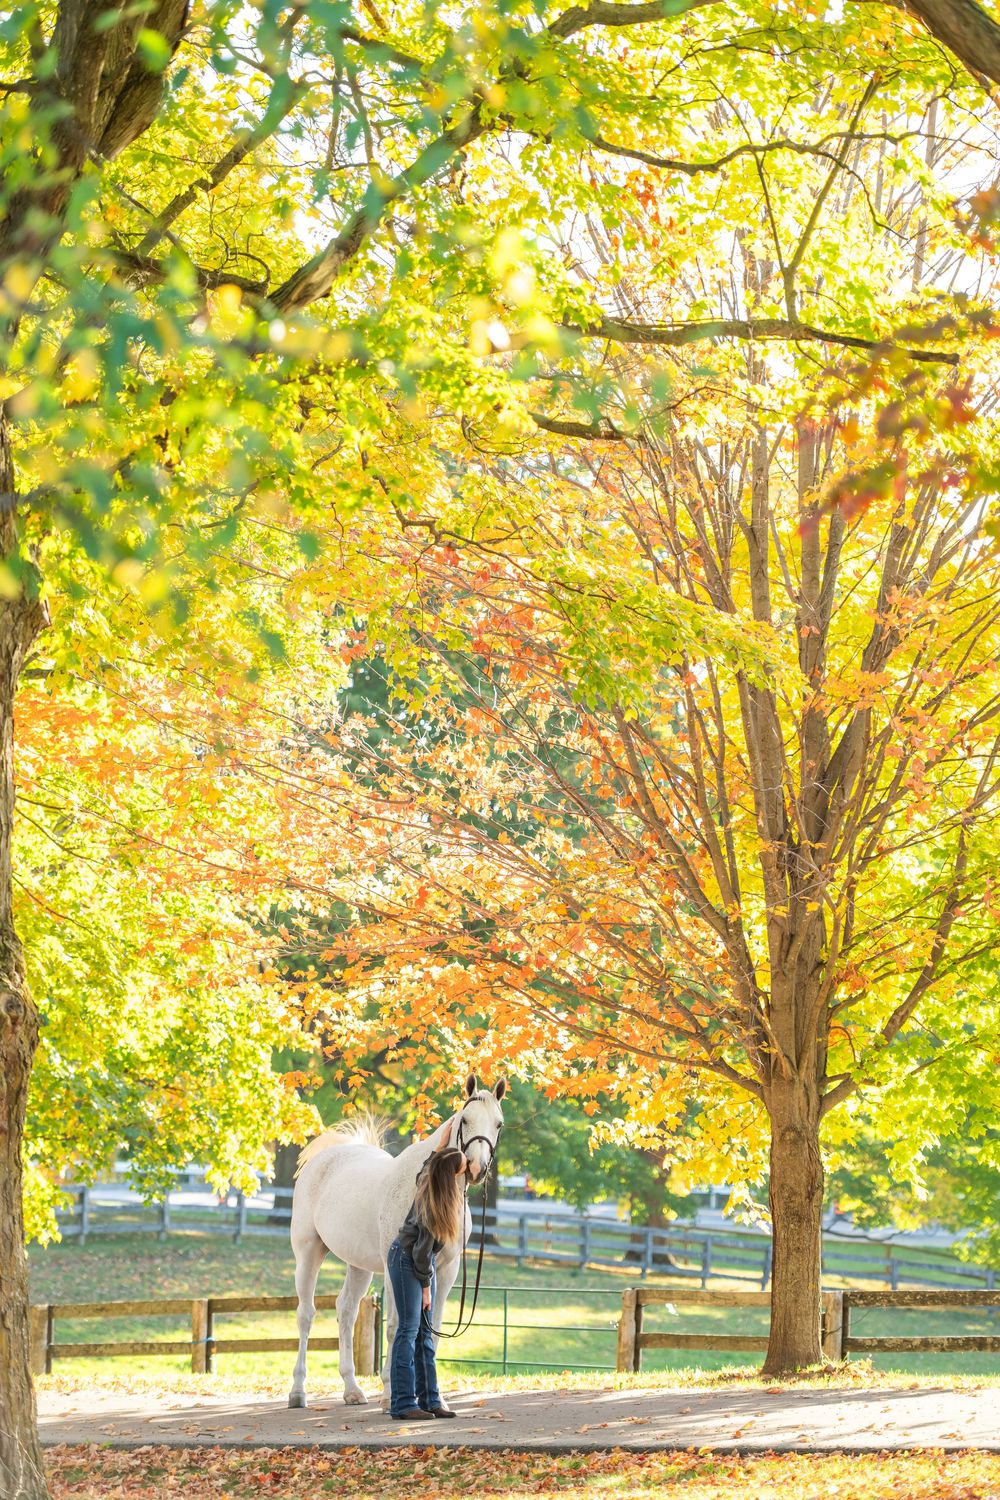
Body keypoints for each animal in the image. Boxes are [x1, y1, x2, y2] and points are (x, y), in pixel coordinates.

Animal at [287, 1072, 506, 1409]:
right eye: (465, 1119)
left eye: (498, 1124)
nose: (476, 1168)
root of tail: (326, 1158)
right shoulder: (397, 1267)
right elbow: (395, 1327)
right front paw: (393, 1391)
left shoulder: (446, 1270)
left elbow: (432, 1327)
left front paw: (433, 1398)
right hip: (309, 1252)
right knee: (306, 1315)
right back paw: (298, 1392)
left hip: (359, 1265)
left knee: (346, 1311)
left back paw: (352, 1389)